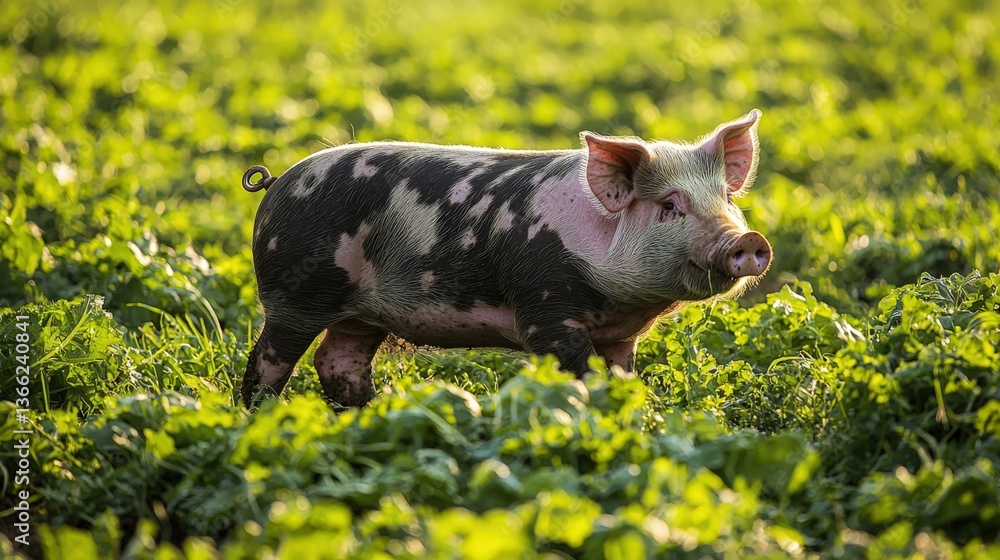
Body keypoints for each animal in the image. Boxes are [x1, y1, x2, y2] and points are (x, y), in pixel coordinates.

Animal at [240, 109, 771, 409]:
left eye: (727, 198)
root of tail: (276, 183)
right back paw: (260, 416)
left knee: (337, 360)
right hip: (293, 293)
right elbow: (579, 374)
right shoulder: (545, 305)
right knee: (269, 360)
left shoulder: (621, 336)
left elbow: (621, 376)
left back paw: (372, 413)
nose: (746, 239)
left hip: (361, 316)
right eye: (670, 205)